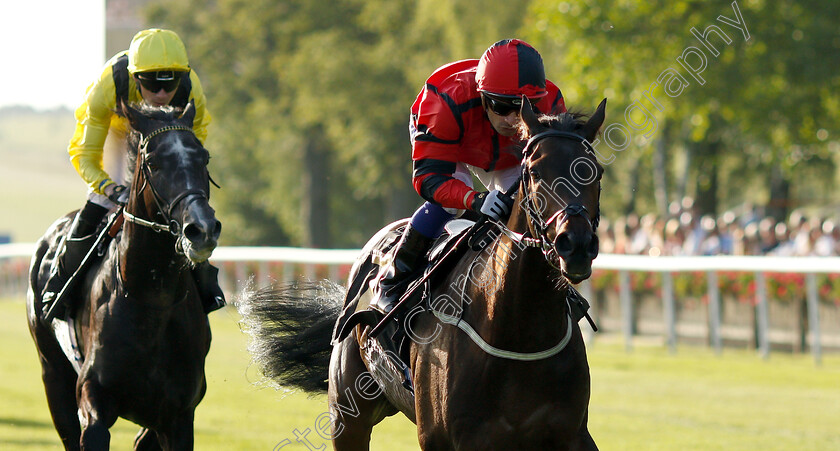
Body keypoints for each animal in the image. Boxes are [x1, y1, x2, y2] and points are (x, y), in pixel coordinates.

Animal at [26, 103, 221, 451]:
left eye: (204, 157)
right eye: (153, 162)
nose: (202, 229)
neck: (151, 300)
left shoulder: (179, 415)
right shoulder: (92, 396)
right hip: (52, 372)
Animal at [236, 97, 604, 450]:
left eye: (596, 171)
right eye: (535, 171)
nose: (575, 245)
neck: (519, 334)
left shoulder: (572, 435)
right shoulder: (445, 438)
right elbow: (430, 175)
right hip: (347, 415)